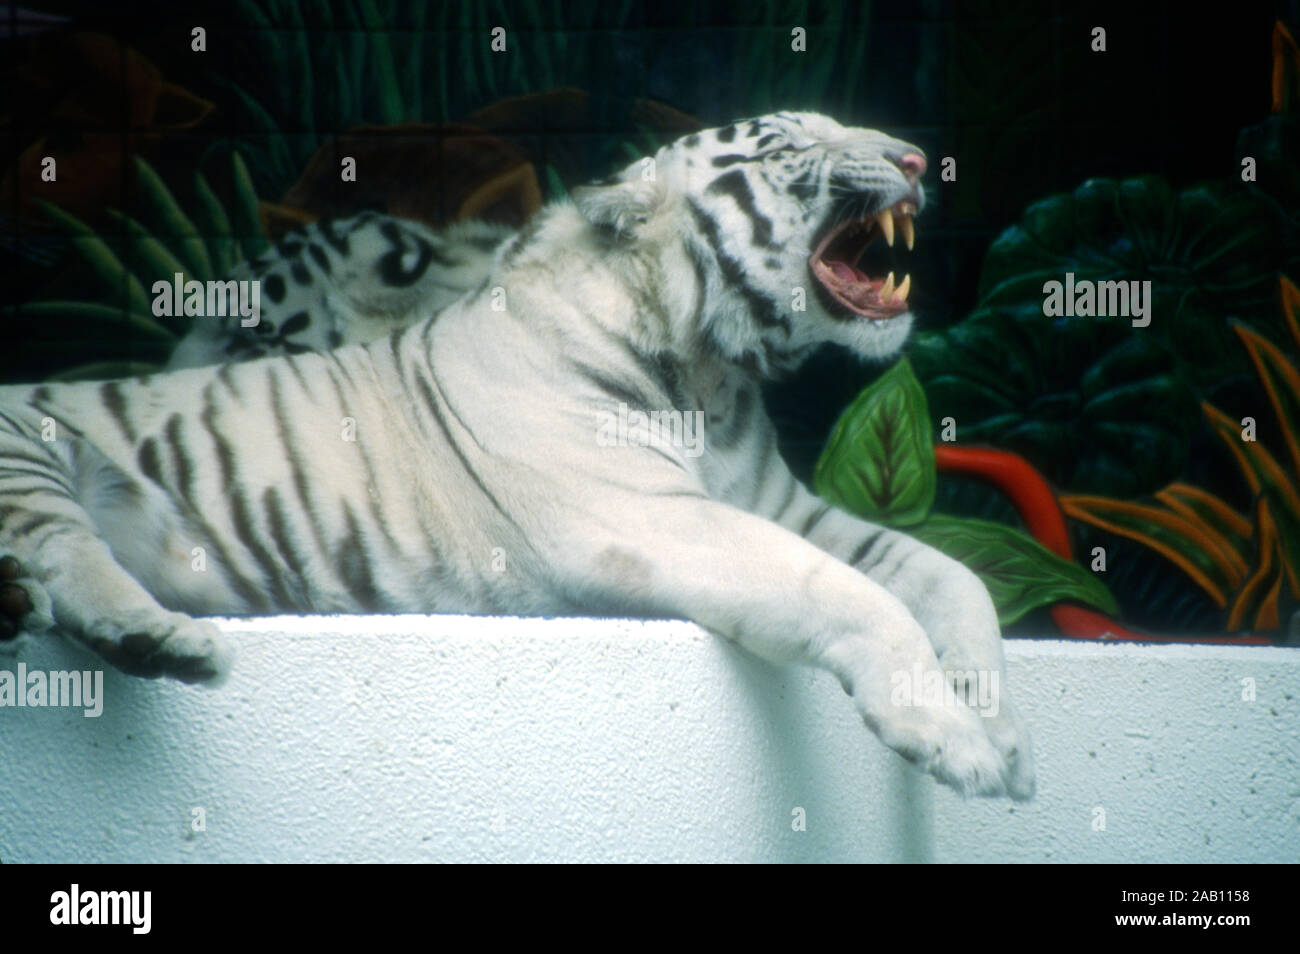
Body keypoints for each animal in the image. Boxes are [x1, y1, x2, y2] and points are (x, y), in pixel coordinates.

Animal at [0, 111, 1034, 800]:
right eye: (795, 147)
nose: (915, 157)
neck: (713, 373)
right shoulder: (651, 517)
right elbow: (854, 595)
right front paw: (955, 742)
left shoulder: (785, 507)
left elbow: (945, 575)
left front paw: (1005, 733)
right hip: (32, 453)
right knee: (68, 547)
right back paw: (161, 640)